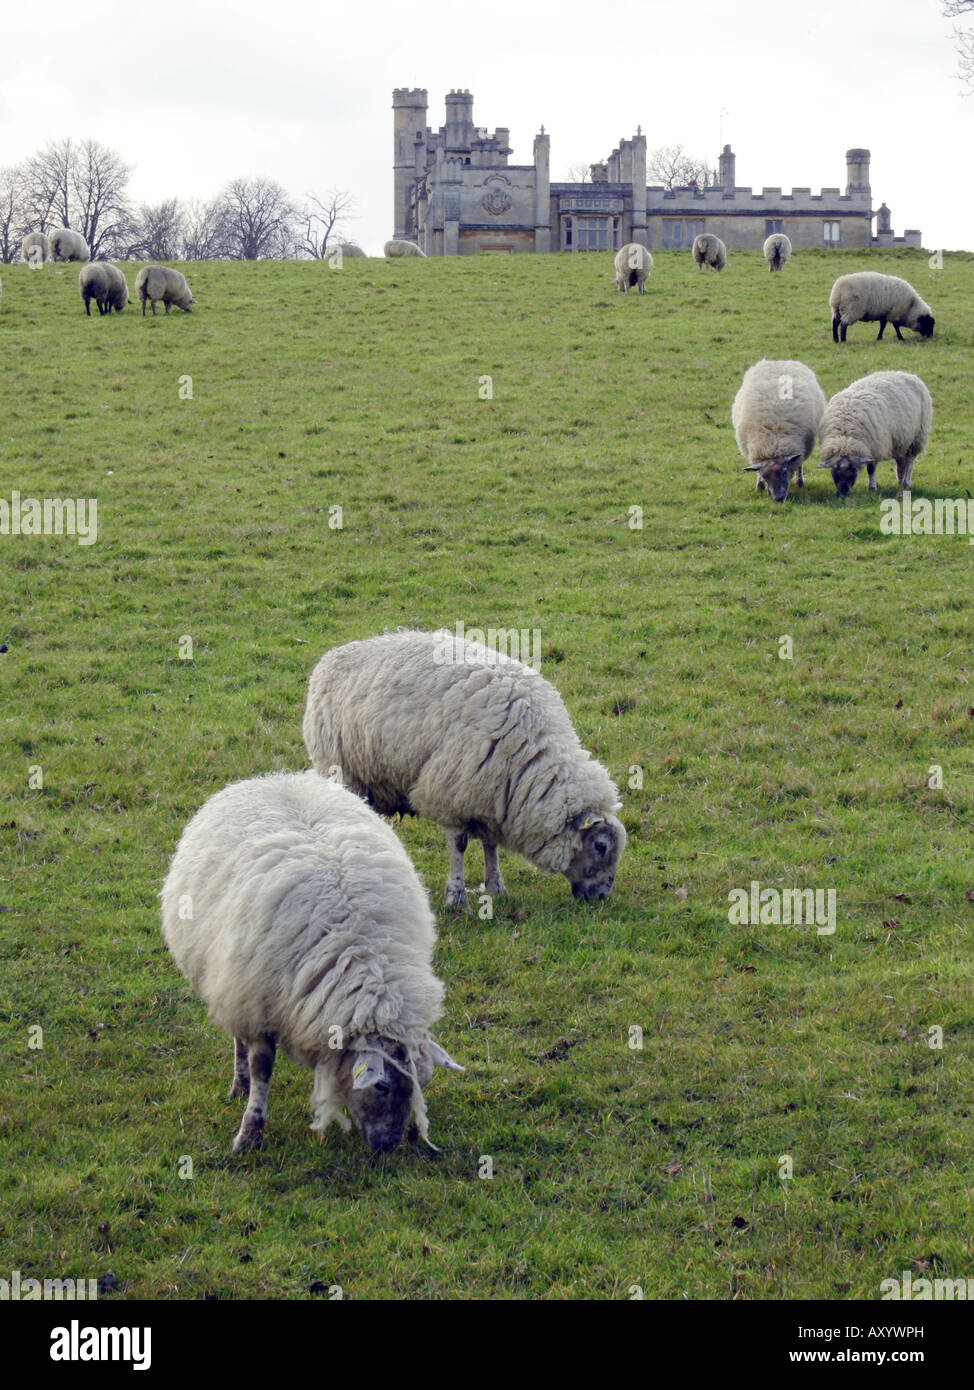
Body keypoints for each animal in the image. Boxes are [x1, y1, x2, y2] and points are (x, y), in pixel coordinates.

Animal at [160, 770, 463, 1154]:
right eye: (382, 1086)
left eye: (422, 1082)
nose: (387, 1146)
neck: (357, 950)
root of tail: (276, 778)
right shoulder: (258, 1002)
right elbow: (262, 1068)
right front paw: (250, 1132)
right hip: (231, 981)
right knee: (238, 1038)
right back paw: (239, 1083)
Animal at [302, 629, 627, 909]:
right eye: (600, 846)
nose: (602, 896)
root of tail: (331, 656)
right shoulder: (452, 793)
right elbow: (459, 846)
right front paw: (456, 897)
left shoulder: (493, 796)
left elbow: (491, 844)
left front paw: (496, 886)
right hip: (341, 770)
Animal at [733, 359, 827, 503]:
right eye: (765, 476)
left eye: (784, 471)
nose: (778, 498)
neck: (773, 438)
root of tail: (779, 361)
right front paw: (760, 486)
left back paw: (800, 483)